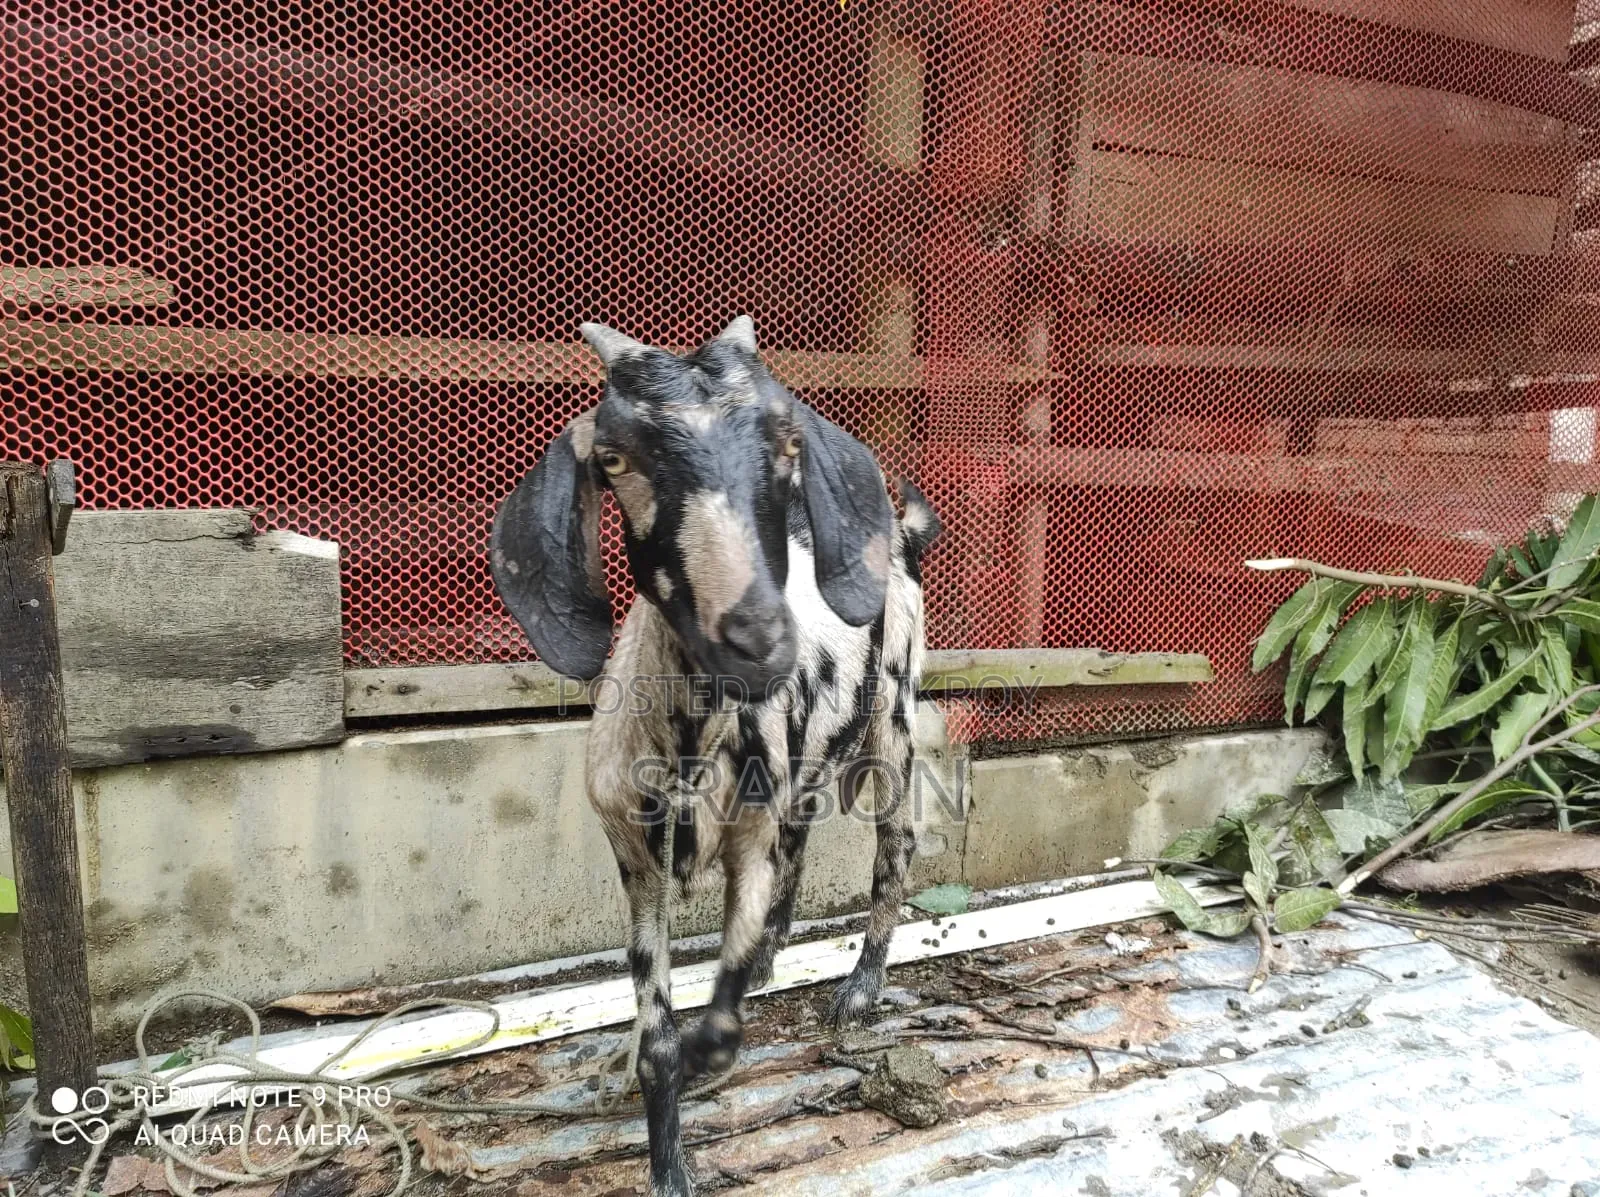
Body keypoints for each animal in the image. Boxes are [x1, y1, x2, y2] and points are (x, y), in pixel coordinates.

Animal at [489, 316, 940, 1196]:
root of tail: (899, 536)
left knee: (893, 844)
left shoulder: (751, 838)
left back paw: (860, 988)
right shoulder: (637, 858)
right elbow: (658, 1029)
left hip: (892, 722)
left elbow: (719, 1024)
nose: (758, 636)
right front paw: (665, 1153)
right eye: (614, 459)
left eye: (787, 441)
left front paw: (709, 1052)